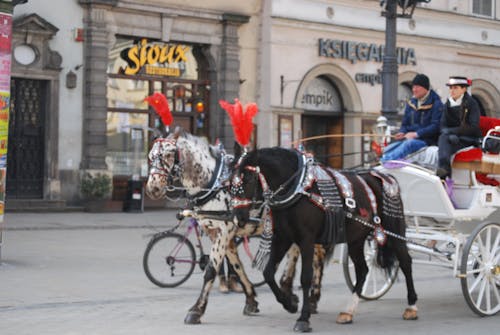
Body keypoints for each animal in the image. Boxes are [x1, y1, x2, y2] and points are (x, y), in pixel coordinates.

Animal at [231, 148, 418, 334]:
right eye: (229, 184)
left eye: (248, 179)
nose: (238, 217)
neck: (296, 189)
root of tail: (385, 176)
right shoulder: (282, 238)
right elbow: (268, 273)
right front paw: (289, 304)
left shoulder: (306, 239)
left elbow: (306, 278)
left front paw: (303, 318)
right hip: (356, 239)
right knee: (363, 270)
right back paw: (348, 312)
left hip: (394, 229)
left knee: (405, 262)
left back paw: (411, 307)